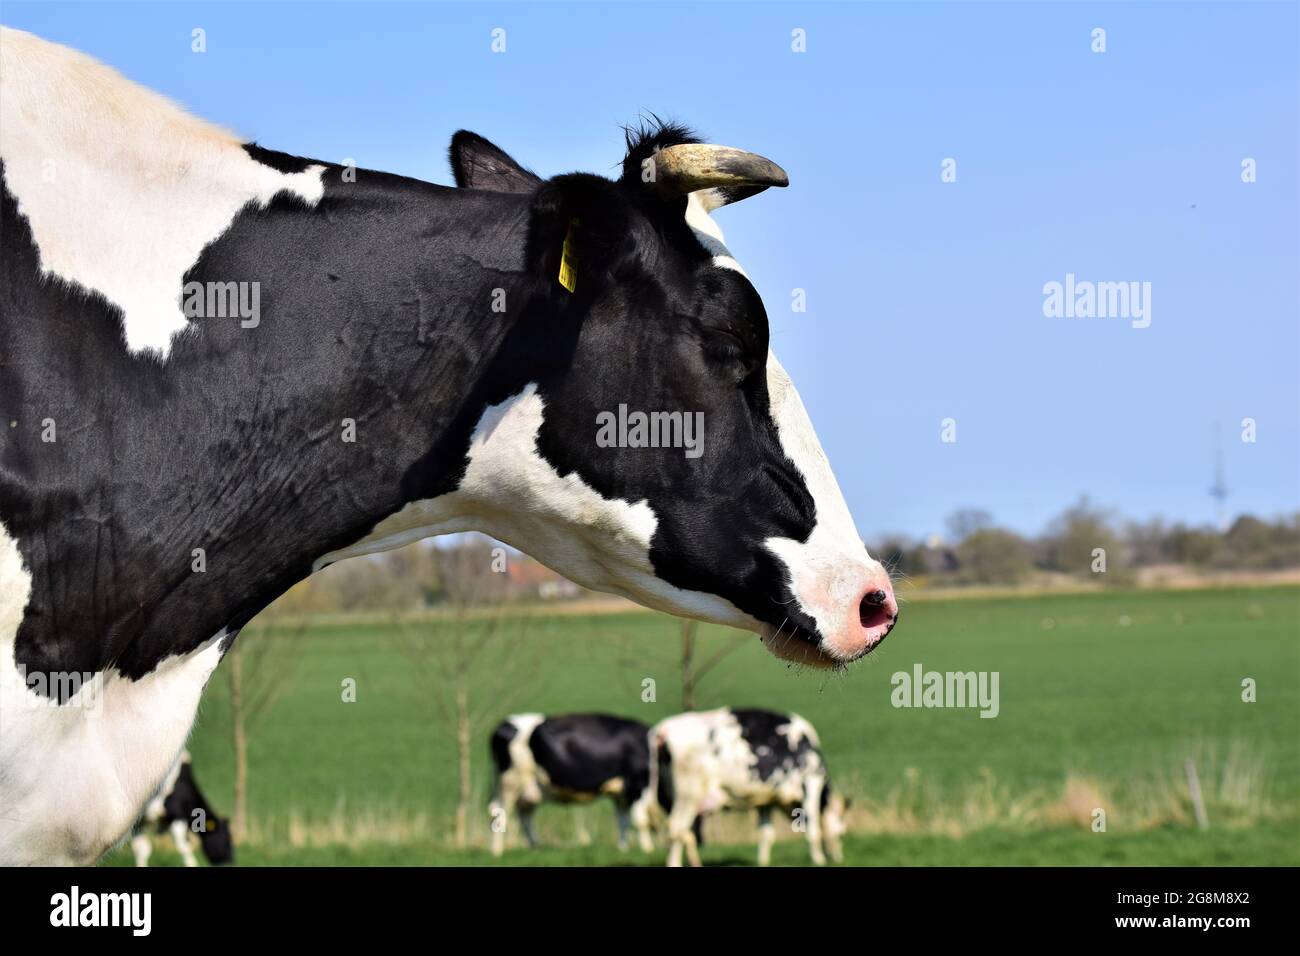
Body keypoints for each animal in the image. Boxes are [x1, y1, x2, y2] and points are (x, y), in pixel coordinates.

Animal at [488, 712, 650, 858]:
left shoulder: (621, 795)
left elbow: (623, 820)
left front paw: (624, 849)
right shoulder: (637, 785)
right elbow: (641, 820)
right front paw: (647, 850)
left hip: (529, 787)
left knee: (524, 814)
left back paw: (535, 847)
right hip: (510, 782)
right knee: (500, 811)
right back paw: (497, 852)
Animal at [631, 712, 852, 868]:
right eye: (842, 835)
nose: (839, 858)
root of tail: (661, 730)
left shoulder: (766, 799)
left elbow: (766, 834)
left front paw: (763, 862)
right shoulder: (812, 782)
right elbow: (814, 829)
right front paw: (819, 859)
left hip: (667, 796)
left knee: (677, 833)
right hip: (688, 796)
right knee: (676, 829)